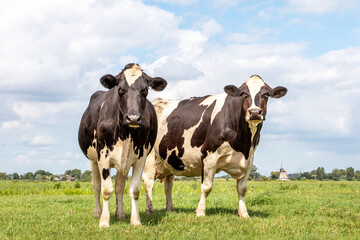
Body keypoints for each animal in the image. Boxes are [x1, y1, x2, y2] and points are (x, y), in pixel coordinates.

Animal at [78, 63, 167, 227]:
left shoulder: (140, 157)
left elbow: (134, 190)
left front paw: (135, 220)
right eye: (120, 89)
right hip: (93, 160)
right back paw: (98, 213)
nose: (133, 118)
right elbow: (106, 190)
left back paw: (120, 214)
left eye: (145, 90)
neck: (126, 133)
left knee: (119, 186)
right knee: (96, 185)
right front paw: (104, 221)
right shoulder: (103, 156)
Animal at [143, 75, 286, 218]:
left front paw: (244, 214)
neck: (242, 144)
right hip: (149, 157)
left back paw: (170, 209)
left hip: (169, 159)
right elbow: (206, 187)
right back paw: (149, 210)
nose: (255, 112)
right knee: (149, 182)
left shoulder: (249, 159)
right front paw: (200, 212)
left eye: (266, 94)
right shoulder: (209, 156)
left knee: (168, 184)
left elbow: (242, 189)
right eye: (243, 94)